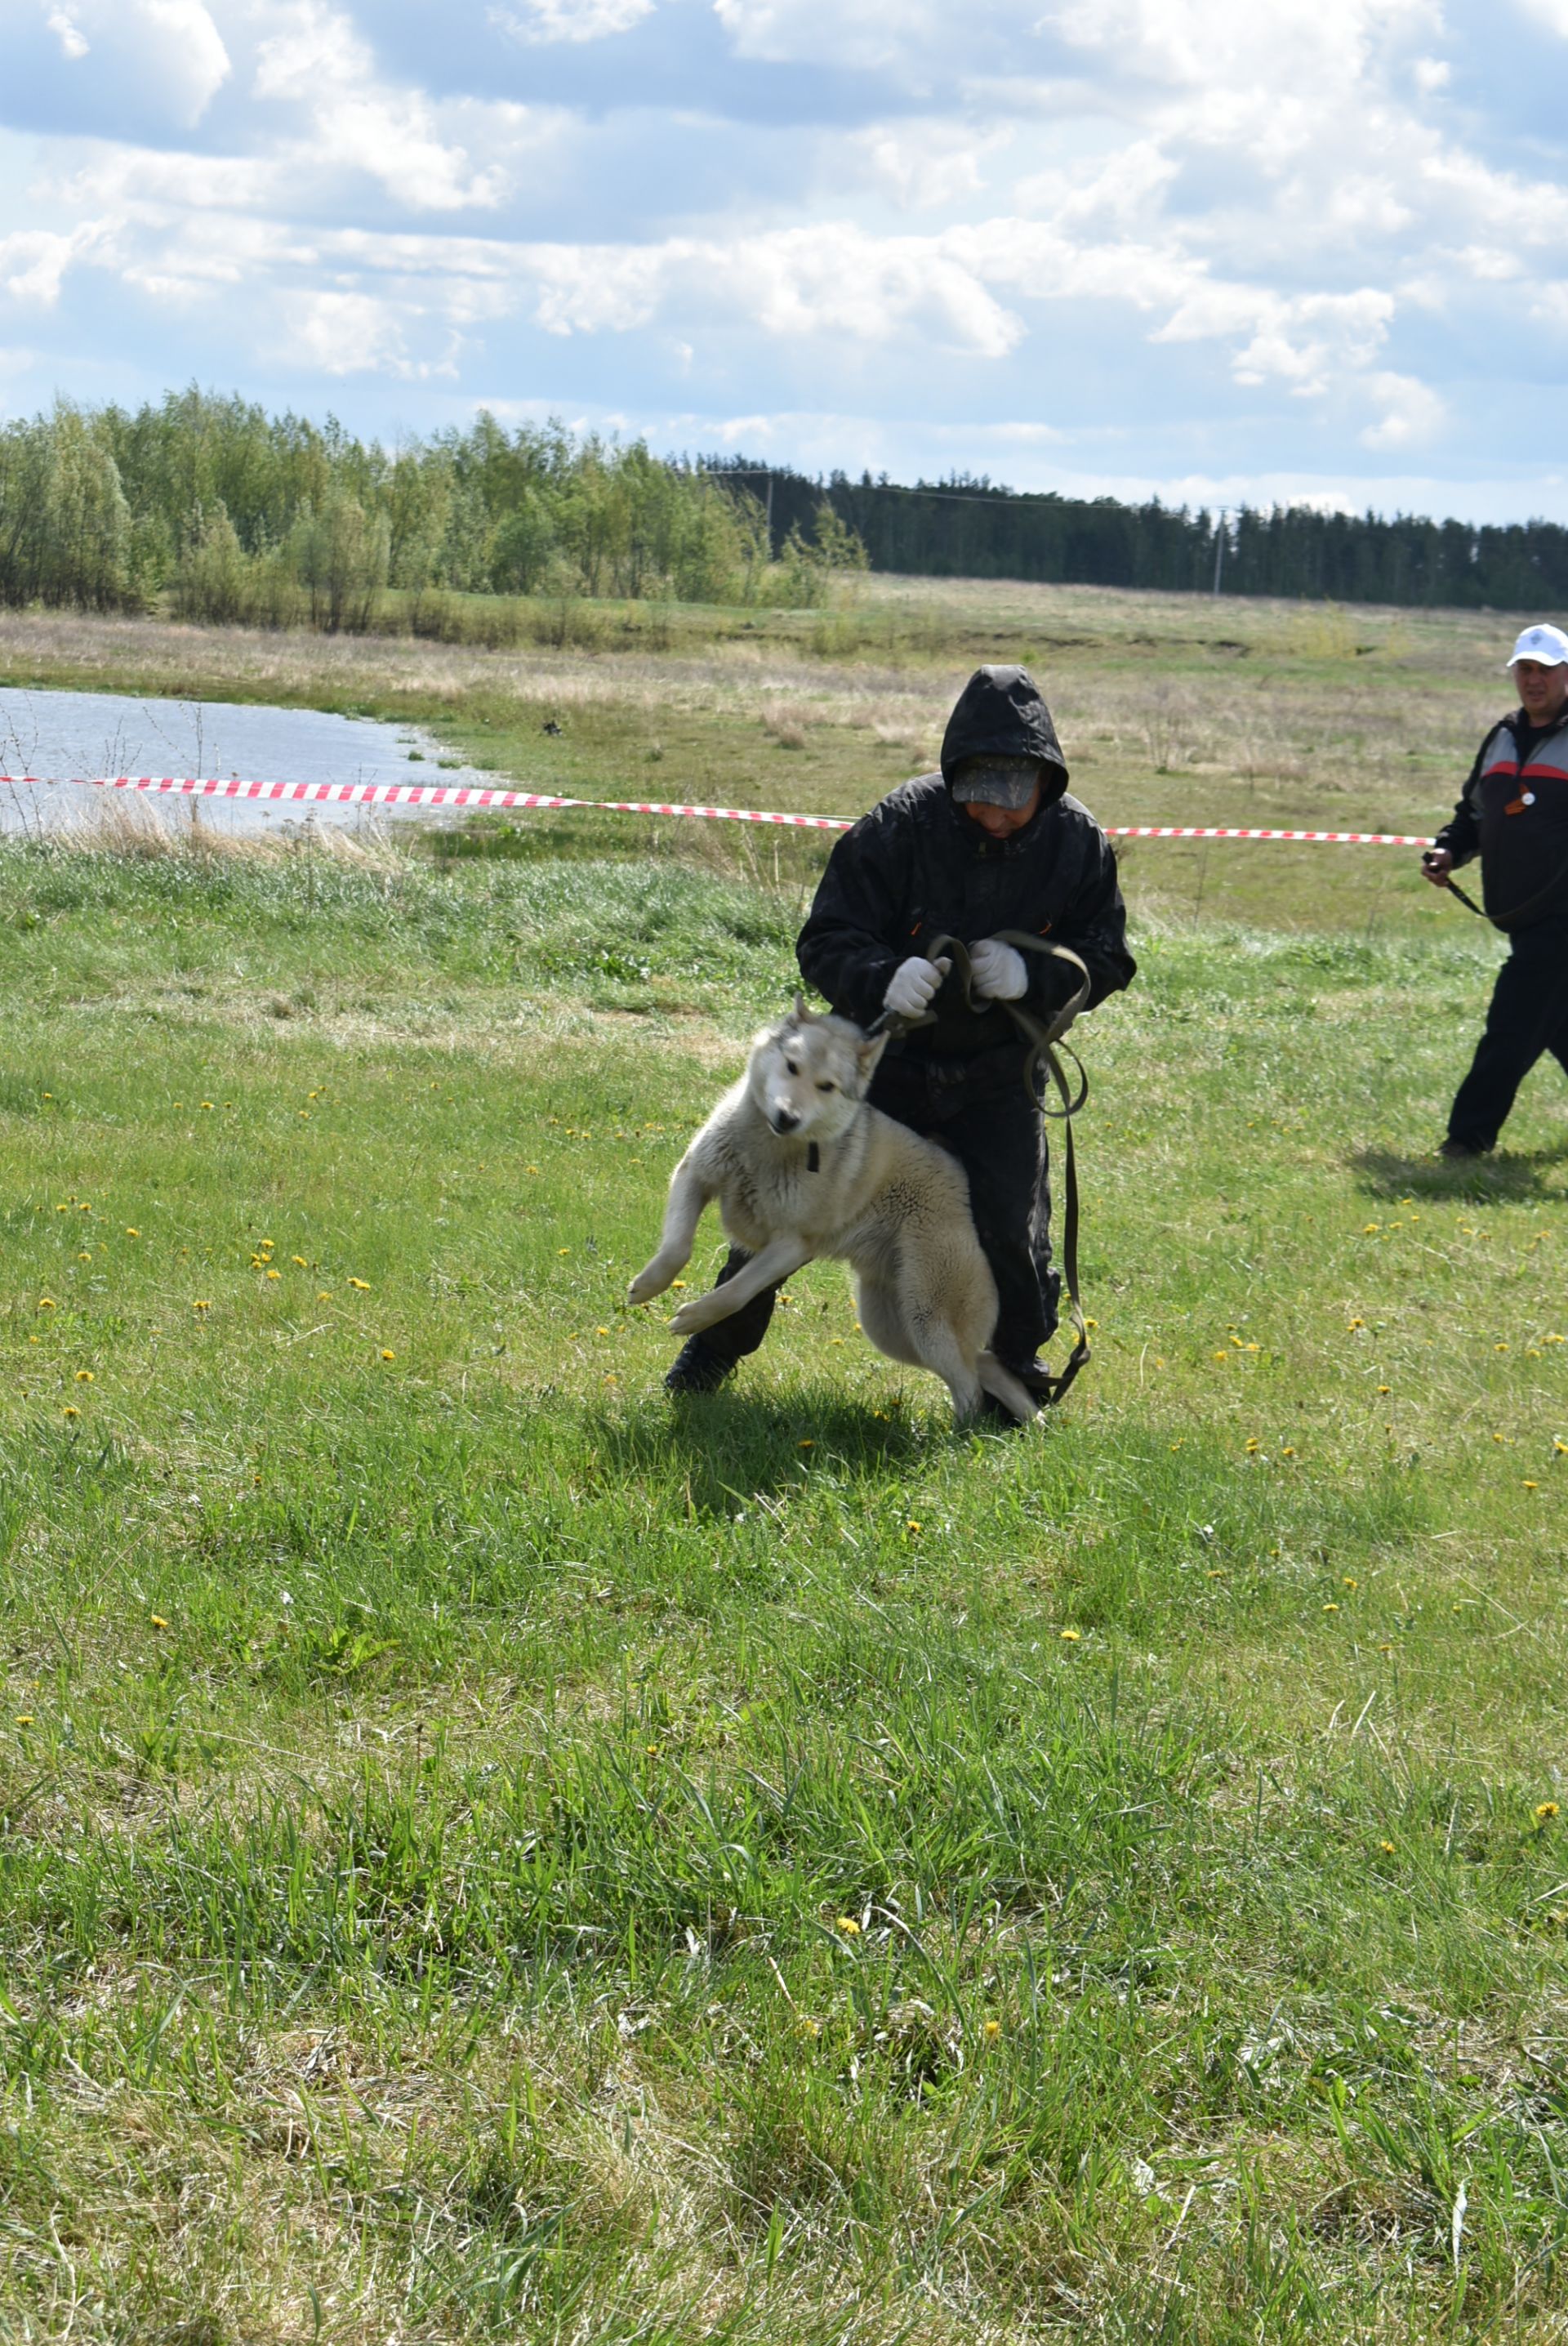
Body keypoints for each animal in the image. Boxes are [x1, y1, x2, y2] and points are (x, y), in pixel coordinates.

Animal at [623, 994, 1040, 1426]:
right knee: (985, 1364)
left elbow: (735, 1294)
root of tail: (963, 1185)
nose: (787, 1117)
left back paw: (962, 1437)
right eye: (792, 1067)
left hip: (927, 1320)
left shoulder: (792, 1245)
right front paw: (647, 1287)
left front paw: (693, 1317)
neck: (766, 1152)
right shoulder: (694, 1174)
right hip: (894, 1327)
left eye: (827, 1087)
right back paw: (1027, 1424)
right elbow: (677, 1249)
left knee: (971, 1386)